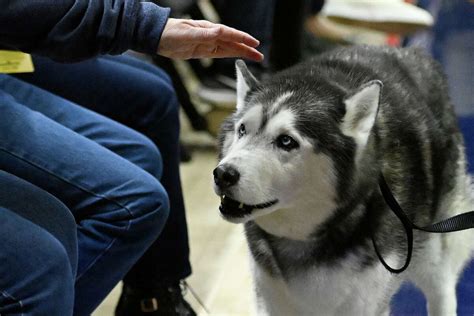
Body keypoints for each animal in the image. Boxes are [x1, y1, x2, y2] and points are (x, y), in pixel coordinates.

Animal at [213, 45, 472, 314]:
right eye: (242, 129)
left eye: (286, 141)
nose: (223, 174)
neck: (301, 239)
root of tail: (411, 51)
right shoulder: (273, 299)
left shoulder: (364, 302)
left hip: (432, 251)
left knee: (442, 289)